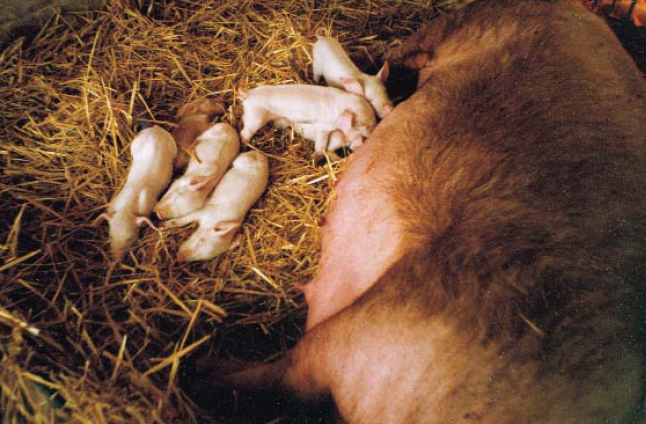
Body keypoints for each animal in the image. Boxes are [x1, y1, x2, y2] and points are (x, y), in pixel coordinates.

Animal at [94, 126, 177, 261]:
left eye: (129, 238)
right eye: (111, 236)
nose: (116, 260)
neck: (126, 209)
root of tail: (155, 128)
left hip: (172, 146)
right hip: (135, 144)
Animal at [239, 85, 376, 152]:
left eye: (373, 117)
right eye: (363, 124)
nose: (372, 132)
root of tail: (248, 94)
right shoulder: (323, 126)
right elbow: (321, 144)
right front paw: (319, 153)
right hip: (255, 117)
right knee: (244, 132)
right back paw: (246, 147)